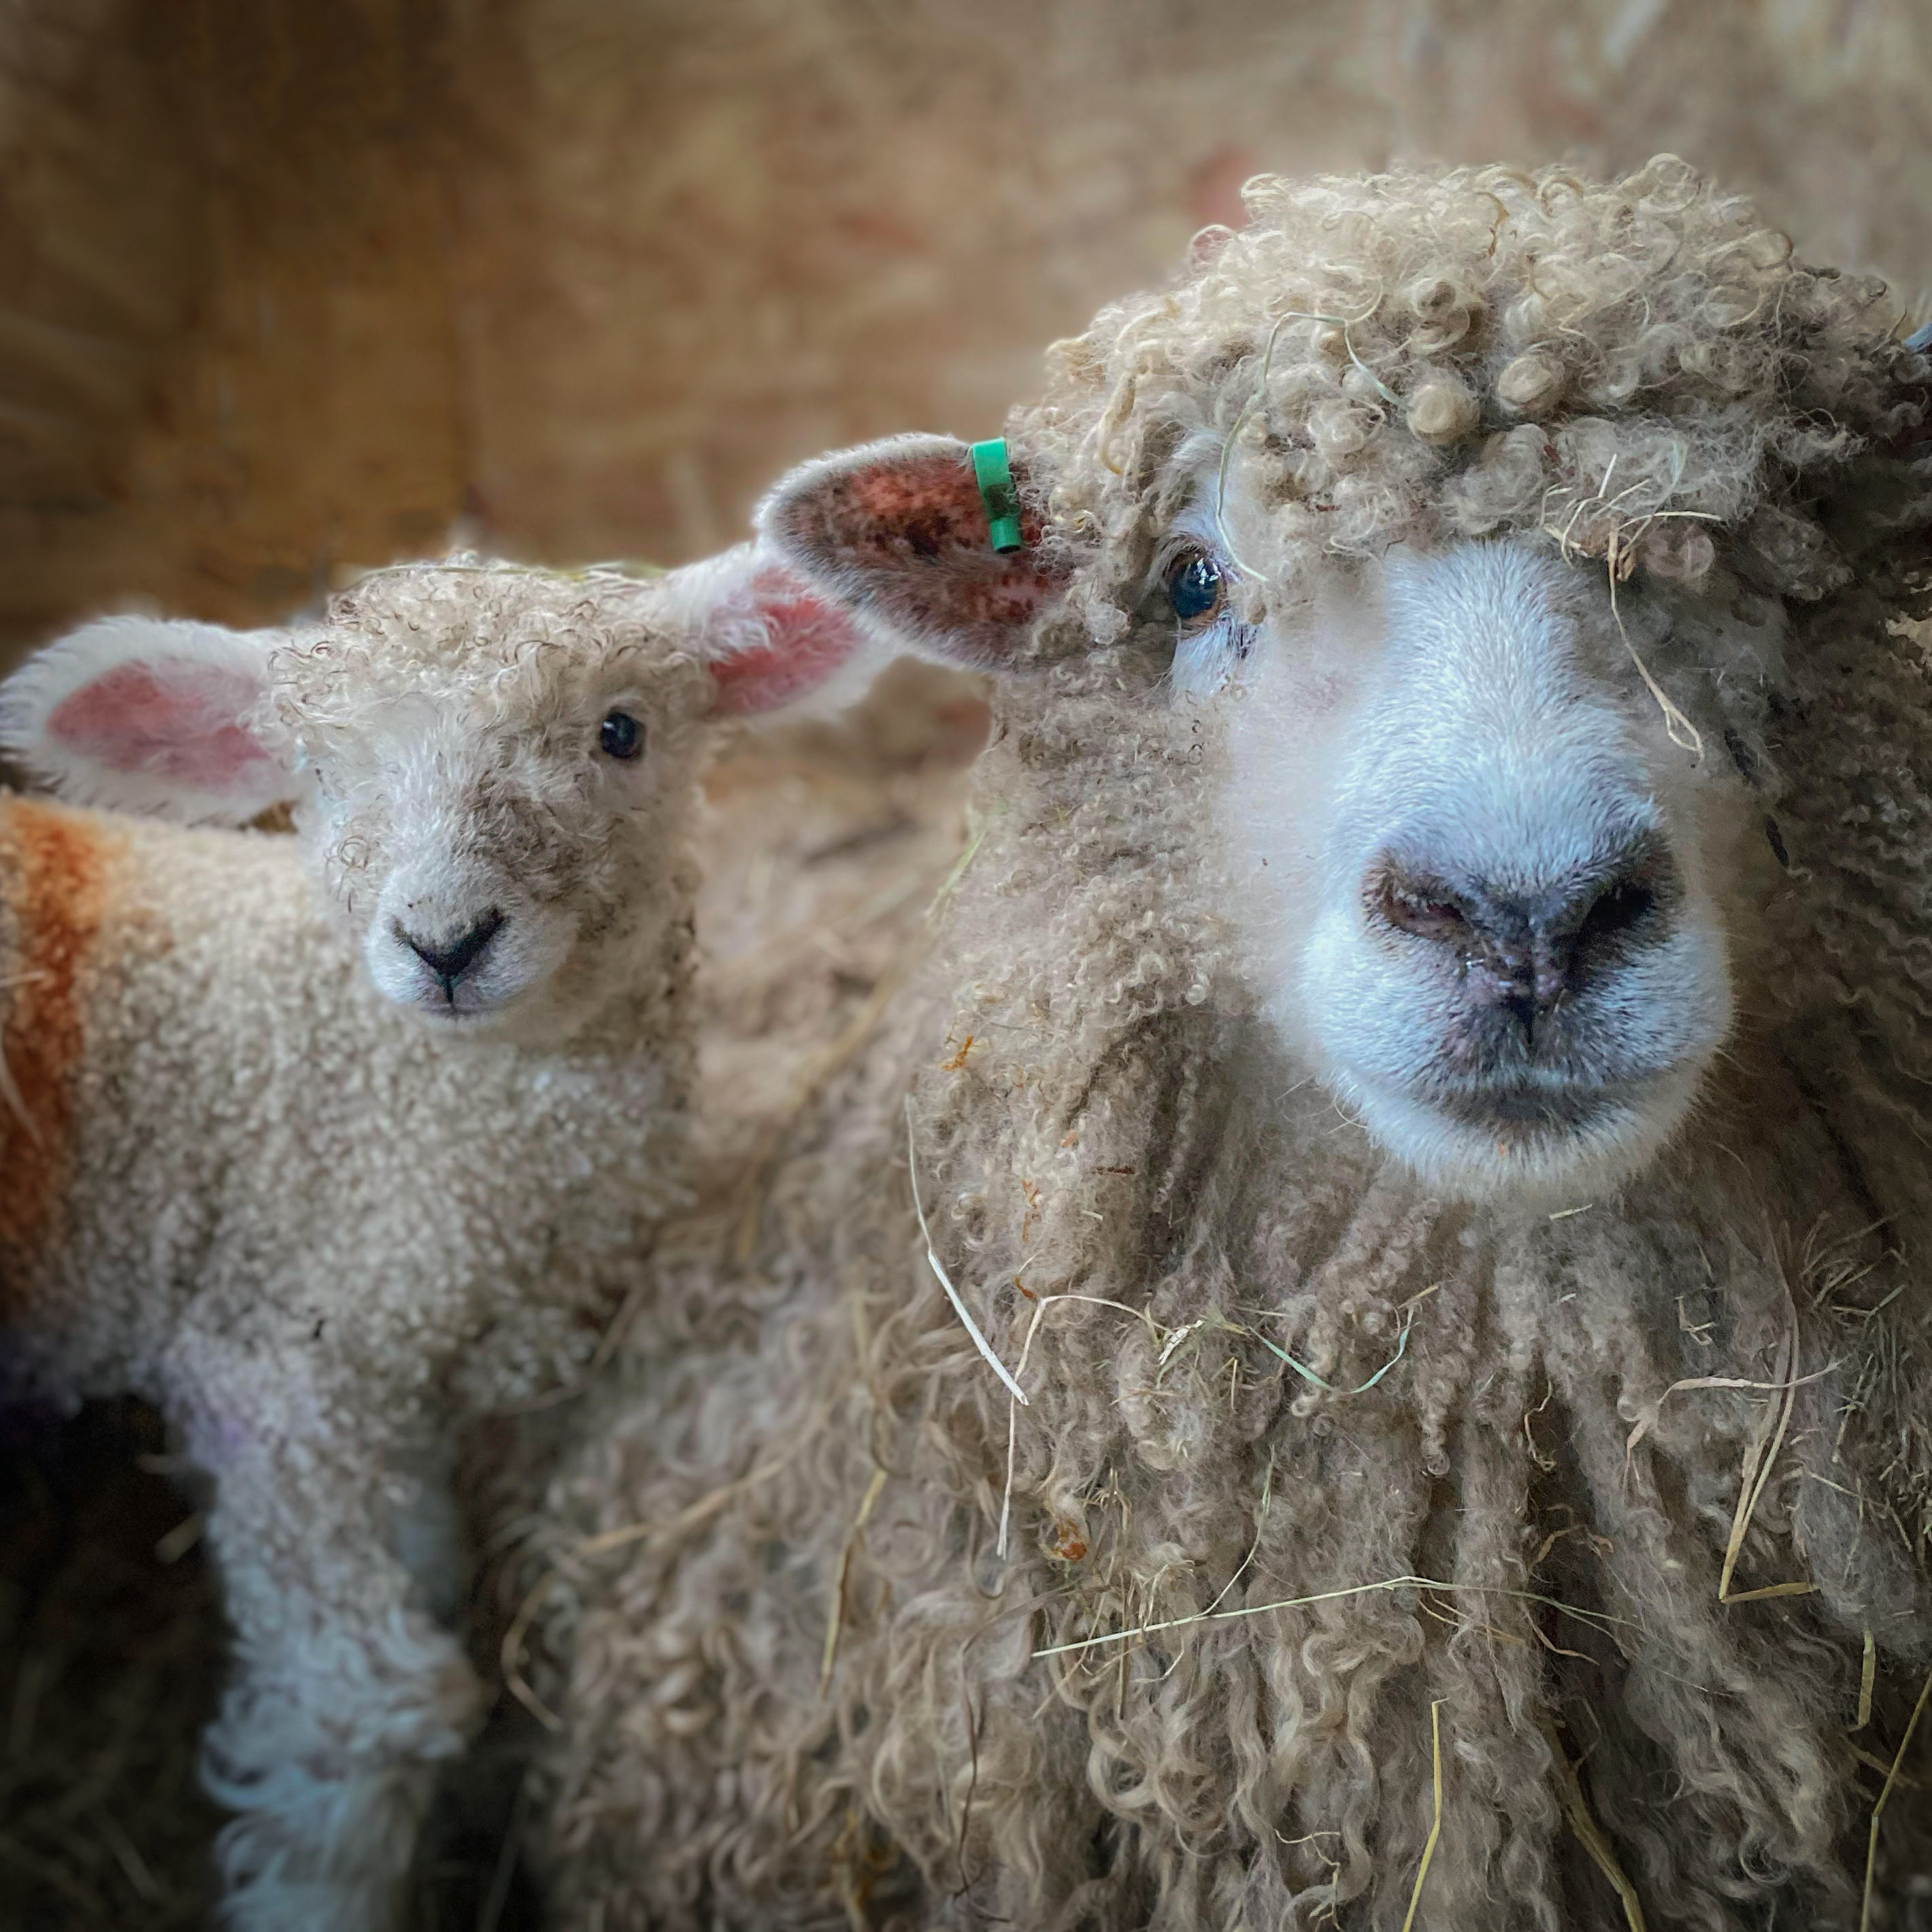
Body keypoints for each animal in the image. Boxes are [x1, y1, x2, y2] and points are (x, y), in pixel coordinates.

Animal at [0, 544, 865, 1932]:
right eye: (316, 770)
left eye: (621, 732)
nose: (446, 943)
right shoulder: (279, 1378)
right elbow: (374, 1705)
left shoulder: (404, 1370)